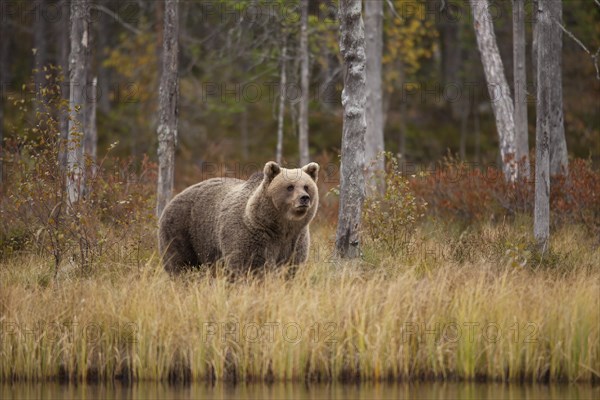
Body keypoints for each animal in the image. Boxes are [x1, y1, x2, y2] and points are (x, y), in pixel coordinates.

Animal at [158, 161, 318, 274]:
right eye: (290, 186)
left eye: (306, 186)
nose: (304, 198)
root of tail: (175, 197)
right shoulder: (252, 236)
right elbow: (251, 266)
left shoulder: (295, 240)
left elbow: (291, 267)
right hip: (181, 231)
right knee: (180, 264)